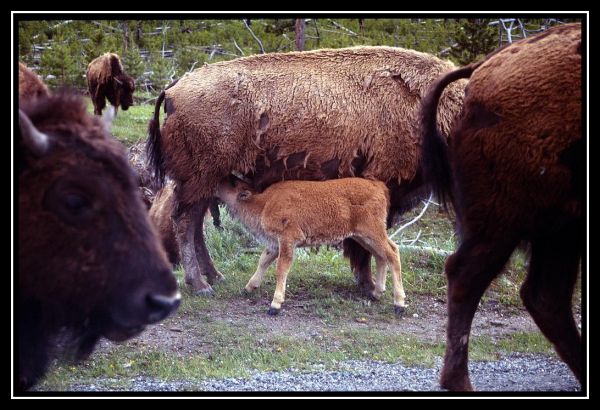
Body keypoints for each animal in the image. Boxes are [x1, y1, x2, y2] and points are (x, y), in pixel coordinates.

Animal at [148, 46, 466, 296]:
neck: (434, 108)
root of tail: (173, 89)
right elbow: (365, 244)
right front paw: (368, 286)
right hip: (200, 177)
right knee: (185, 222)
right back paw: (201, 285)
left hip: (207, 180)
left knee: (194, 224)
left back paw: (214, 277)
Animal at [213, 177, 406, 318]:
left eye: (233, 184)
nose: (218, 182)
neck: (264, 203)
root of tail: (378, 186)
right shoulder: (275, 244)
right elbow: (263, 261)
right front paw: (248, 288)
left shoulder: (288, 240)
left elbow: (281, 268)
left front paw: (275, 305)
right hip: (363, 237)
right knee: (381, 256)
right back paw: (375, 293)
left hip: (372, 232)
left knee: (392, 253)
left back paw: (399, 304)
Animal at [420, 22, 584, 390]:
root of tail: (481, 69)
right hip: (509, 220)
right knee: (466, 275)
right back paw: (460, 383)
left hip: (558, 227)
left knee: (545, 295)